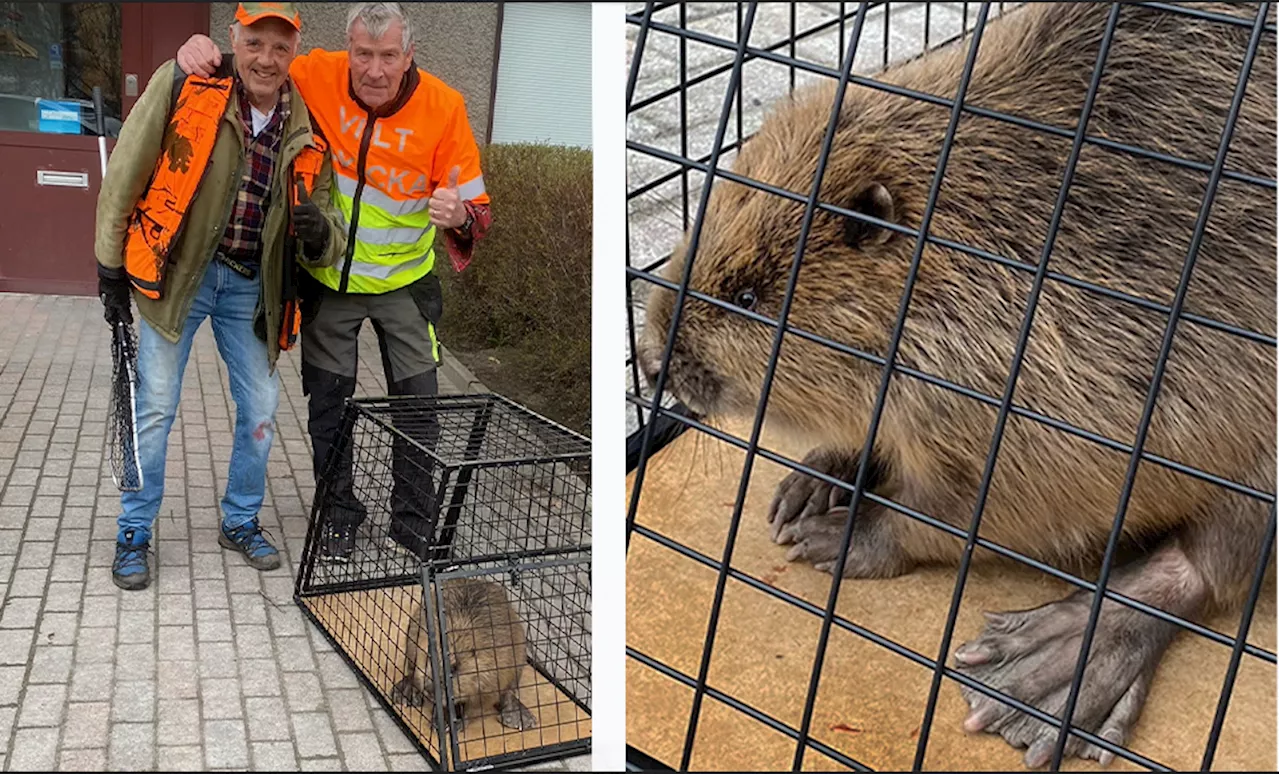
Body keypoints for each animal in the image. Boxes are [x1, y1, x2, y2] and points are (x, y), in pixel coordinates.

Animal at [384, 575, 535, 731]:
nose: (430, 689)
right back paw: (404, 693)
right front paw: (444, 720)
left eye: (454, 668)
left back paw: (519, 718)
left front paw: (455, 720)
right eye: (429, 659)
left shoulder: (496, 670)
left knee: (509, 691)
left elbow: (479, 704)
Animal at [634, 0, 1274, 767]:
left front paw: (837, 533)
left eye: (748, 296)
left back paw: (1041, 675)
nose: (651, 361)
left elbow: (977, 509)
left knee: (1211, 563)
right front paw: (809, 484)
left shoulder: (1069, 394)